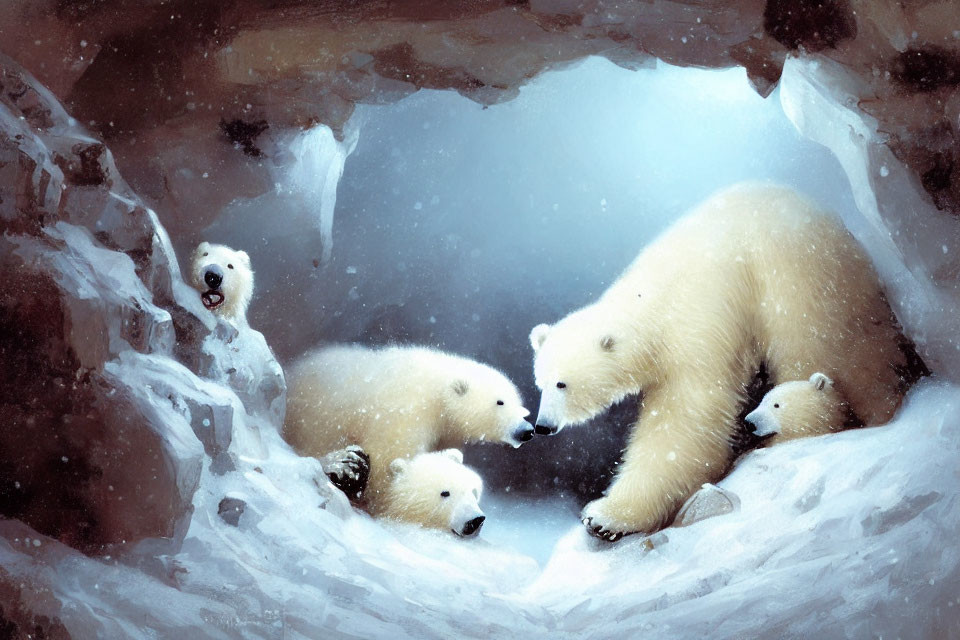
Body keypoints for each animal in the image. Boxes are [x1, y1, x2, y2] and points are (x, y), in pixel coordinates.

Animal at [282, 344, 536, 516]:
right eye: (500, 402)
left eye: (520, 406)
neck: (437, 394)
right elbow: (389, 460)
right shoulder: (405, 413)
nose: (527, 430)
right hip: (312, 421)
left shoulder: (443, 432)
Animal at [528, 184, 920, 540]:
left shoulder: (699, 323)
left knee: (827, 349)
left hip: (800, 279)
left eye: (563, 383)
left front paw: (605, 517)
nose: (542, 426)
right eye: (541, 384)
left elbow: (687, 421)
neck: (650, 298)